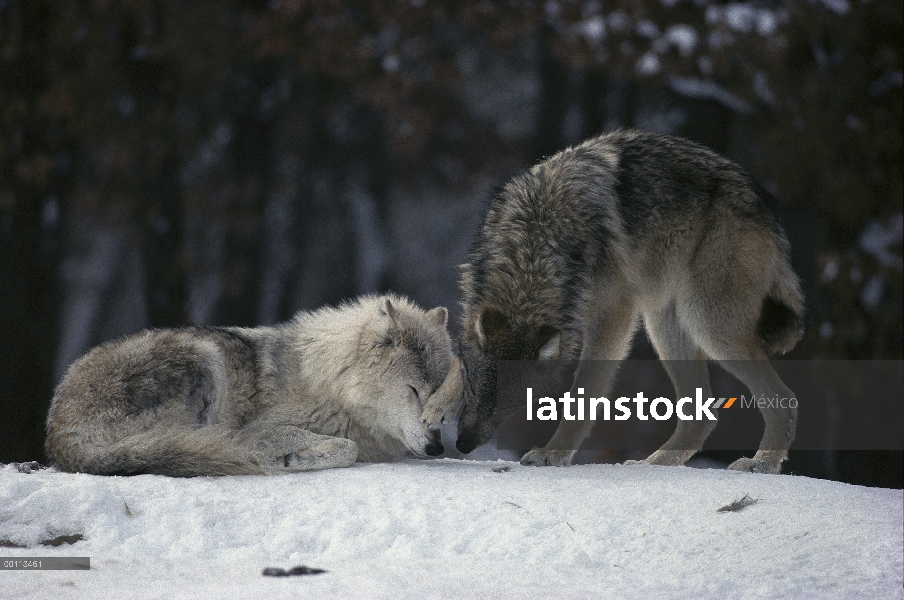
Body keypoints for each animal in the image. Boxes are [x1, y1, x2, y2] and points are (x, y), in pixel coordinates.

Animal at [46, 292, 452, 476]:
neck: (330, 382)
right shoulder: (266, 427)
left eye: (439, 395)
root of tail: (58, 434)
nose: (436, 447)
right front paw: (291, 458)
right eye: (414, 390)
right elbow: (346, 448)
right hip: (202, 356)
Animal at [424, 130, 804, 474]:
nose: (463, 444)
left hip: (707, 322)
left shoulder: (614, 315)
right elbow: (457, 356)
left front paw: (553, 454)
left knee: (784, 400)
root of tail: (768, 206)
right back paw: (655, 464)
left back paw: (761, 464)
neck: (537, 239)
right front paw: (434, 407)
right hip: (666, 326)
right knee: (701, 415)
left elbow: (584, 391)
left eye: (510, 404)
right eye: (475, 387)